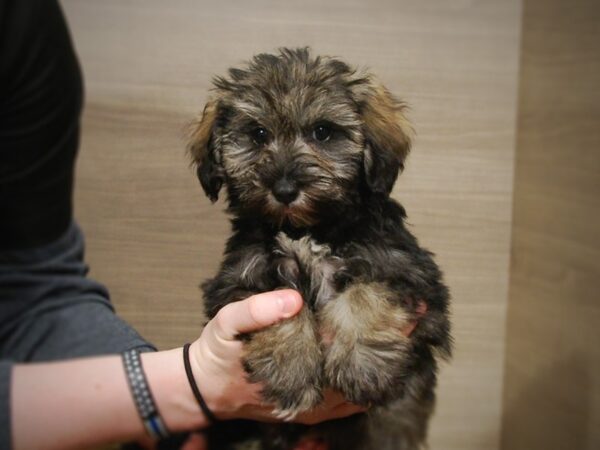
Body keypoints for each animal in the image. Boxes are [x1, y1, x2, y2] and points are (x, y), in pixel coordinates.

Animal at [188, 48, 450, 450]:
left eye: (323, 132)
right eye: (257, 134)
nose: (284, 189)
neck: (306, 229)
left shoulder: (406, 270)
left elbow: (366, 295)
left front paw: (362, 364)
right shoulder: (239, 278)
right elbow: (279, 305)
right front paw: (290, 370)